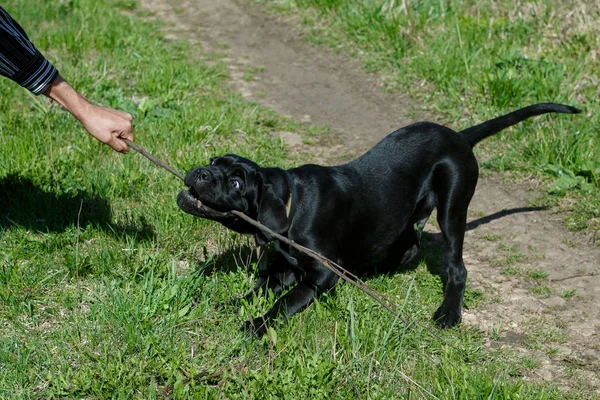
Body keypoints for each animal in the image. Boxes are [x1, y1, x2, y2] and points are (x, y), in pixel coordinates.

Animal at [178, 104, 580, 338]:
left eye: (235, 183)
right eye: (213, 163)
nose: (200, 172)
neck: (292, 200)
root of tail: (459, 137)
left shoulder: (321, 274)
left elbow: (284, 304)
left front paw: (256, 325)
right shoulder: (286, 266)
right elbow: (261, 289)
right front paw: (231, 304)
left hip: (453, 207)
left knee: (457, 267)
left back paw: (448, 314)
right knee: (410, 247)